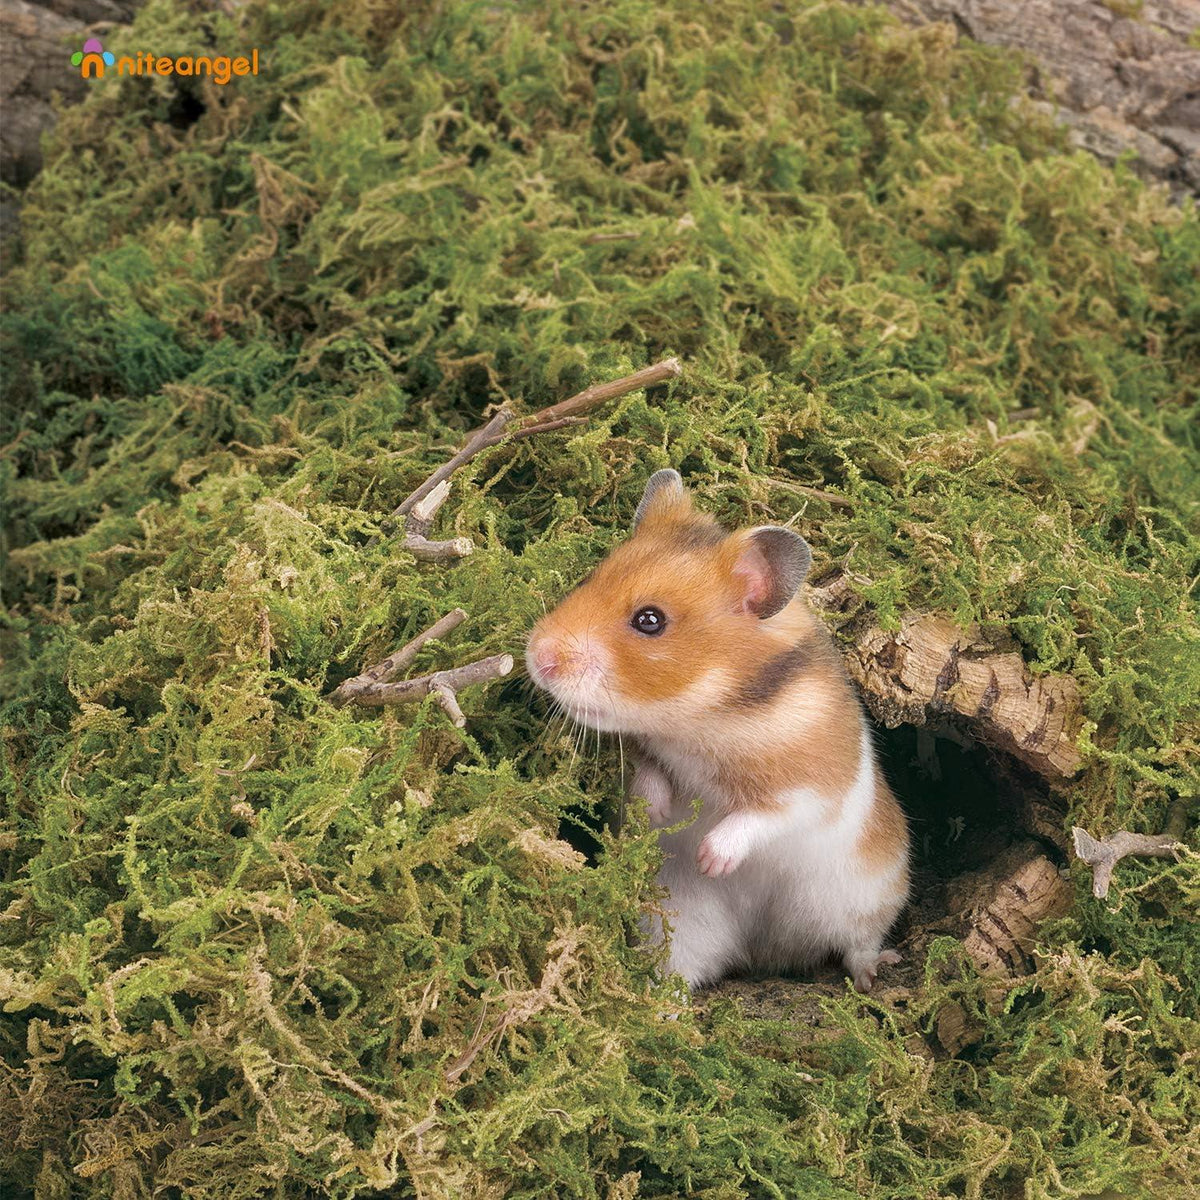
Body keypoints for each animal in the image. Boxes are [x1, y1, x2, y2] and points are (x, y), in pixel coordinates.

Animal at [525, 469, 910, 993]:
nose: (535, 657)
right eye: (590, 578)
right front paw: (655, 813)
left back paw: (874, 974)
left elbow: (763, 816)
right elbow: (646, 773)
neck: (704, 718)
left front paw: (712, 860)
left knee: (857, 944)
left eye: (650, 620)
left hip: (865, 896)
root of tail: (763, 954)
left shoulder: (814, 788)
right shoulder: (652, 750)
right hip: (680, 923)